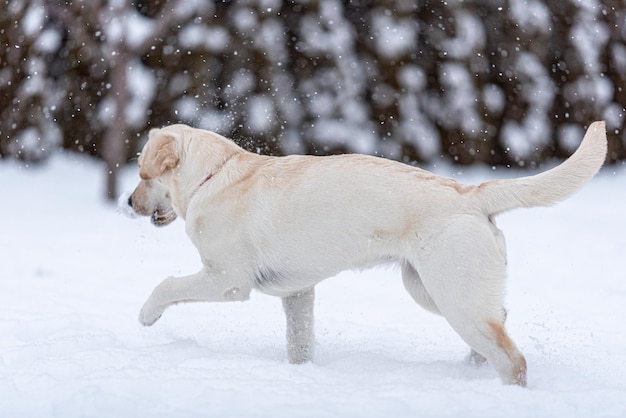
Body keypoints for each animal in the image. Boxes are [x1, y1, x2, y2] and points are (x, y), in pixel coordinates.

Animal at [125, 121, 604, 386]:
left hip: (451, 297)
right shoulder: (297, 294)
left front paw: (146, 315)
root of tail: (469, 193)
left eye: (143, 174)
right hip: (435, 292)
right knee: (500, 321)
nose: (128, 202)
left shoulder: (226, 280)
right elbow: (299, 344)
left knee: (513, 358)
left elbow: (166, 285)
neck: (214, 176)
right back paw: (473, 367)